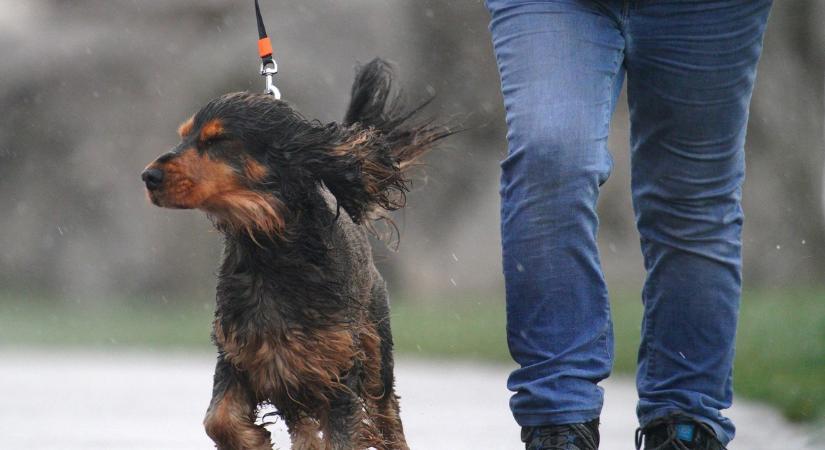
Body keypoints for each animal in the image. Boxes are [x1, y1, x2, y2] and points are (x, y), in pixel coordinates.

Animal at [142, 58, 450, 448]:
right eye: (183, 136)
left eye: (217, 140)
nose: (148, 176)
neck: (272, 251)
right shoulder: (240, 356)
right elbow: (218, 419)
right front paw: (254, 439)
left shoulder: (338, 374)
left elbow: (342, 434)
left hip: (377, 353)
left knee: (387, 415)